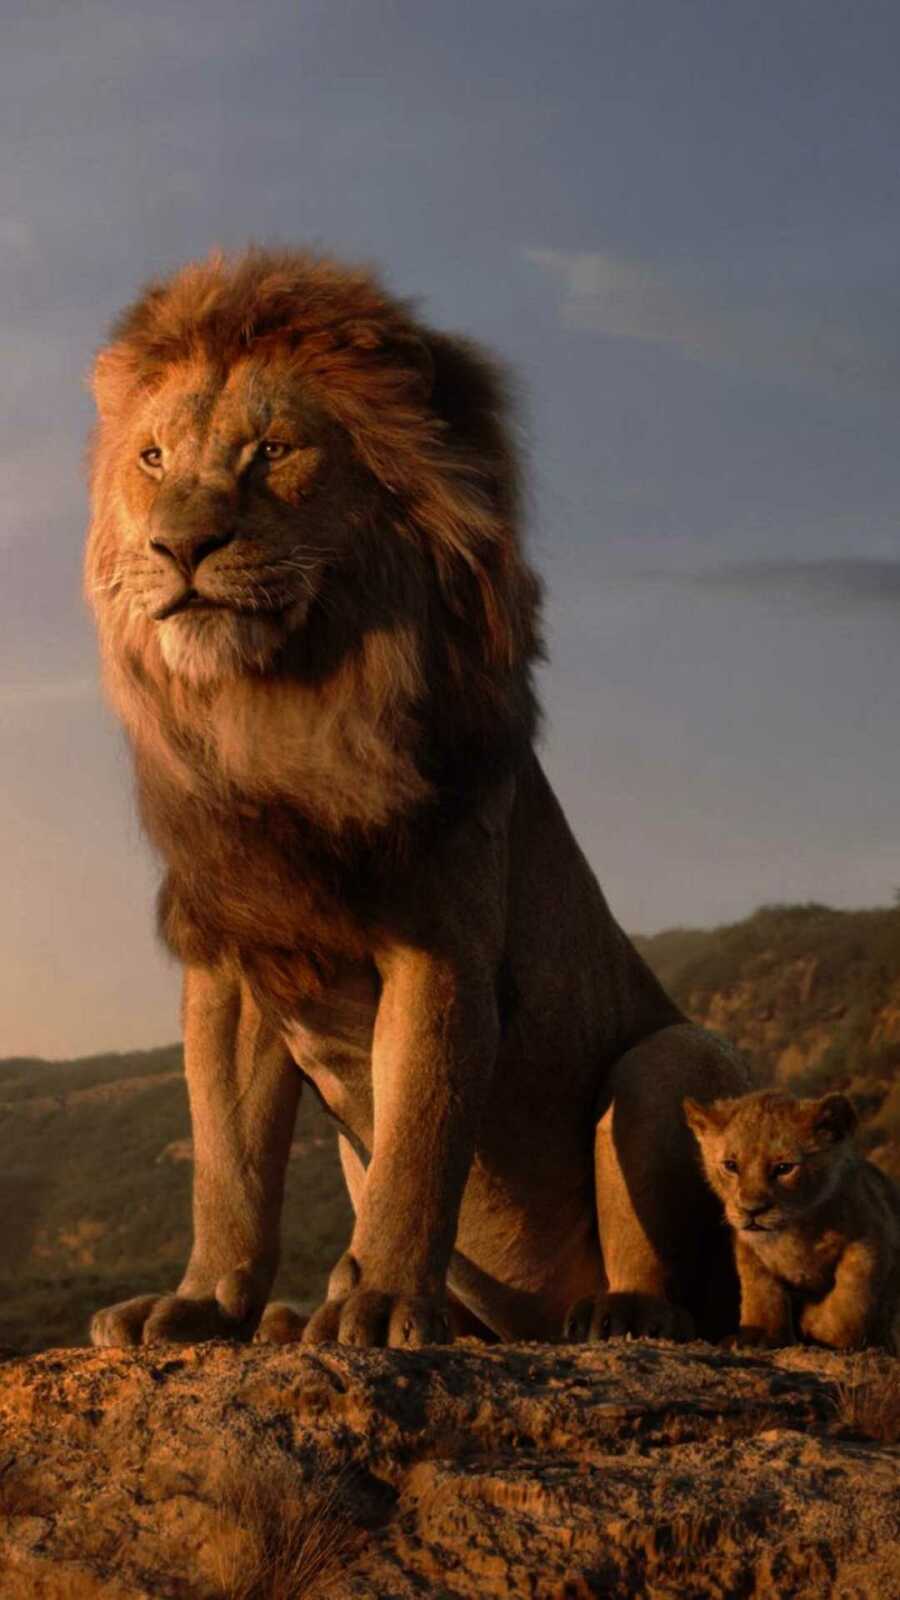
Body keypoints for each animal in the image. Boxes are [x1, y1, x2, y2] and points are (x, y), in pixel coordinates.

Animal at [84, 247, 749, 1351]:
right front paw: (203, 1303)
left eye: (273, 450)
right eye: (151, 458)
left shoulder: (441, 948)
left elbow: (419, 1143)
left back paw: (617, 1312)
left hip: (670, 1057)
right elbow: (227, 1165)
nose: (180, 547)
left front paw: (385, 1302)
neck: (276, 712)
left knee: (685, 1281)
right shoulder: (233, 961)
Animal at [684, 1090, 900, 1352]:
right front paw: (760, 1336)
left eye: (784, 1168)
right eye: (731, 1165)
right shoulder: (749, 1250)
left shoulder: (871, 1238)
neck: (794, 1233)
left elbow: (850, 1299)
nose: (752, 1210)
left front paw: (816, 1322)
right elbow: (761, 1292)